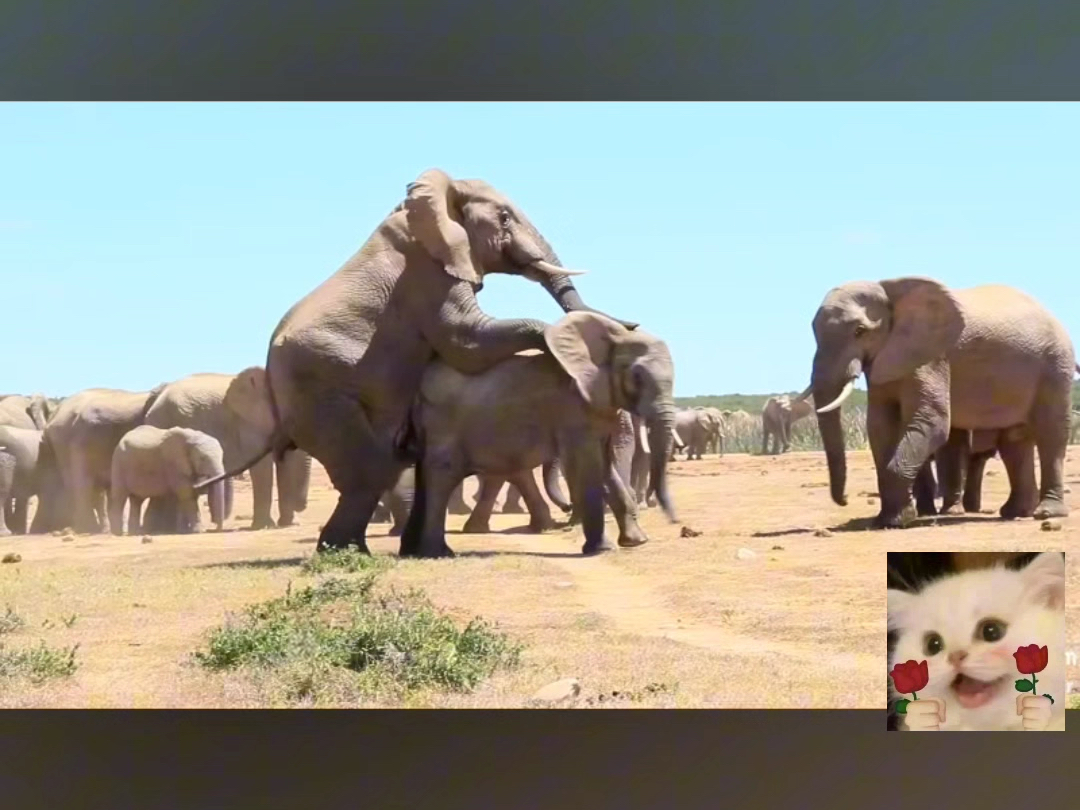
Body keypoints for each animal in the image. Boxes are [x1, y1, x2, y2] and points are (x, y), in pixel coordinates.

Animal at [142, 367, 311, 531]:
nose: (301, 506)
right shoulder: (248, 422)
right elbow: (262, 466)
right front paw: (264, 526)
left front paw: (289, 524)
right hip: (162, 422)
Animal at [199, 168, 635, 554]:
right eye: (504, 217)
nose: (632, 323)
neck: (434, 197)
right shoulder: (426, 275)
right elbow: (468, 341)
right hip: (320, 396)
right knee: (369, 469)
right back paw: (347, 552)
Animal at [400, 311, 677, 558]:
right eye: (637, 376)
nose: (674, 522)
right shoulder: (572, 410)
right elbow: (587, 468)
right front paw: (601, 549)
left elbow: (606, 469)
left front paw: (636, 542)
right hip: (443, 422)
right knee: (443, 474)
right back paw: (437, 552)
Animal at [809, 277, 1076, 528]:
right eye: (814, 333)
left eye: (860, 331)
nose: (844, 500)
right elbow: (879, 426)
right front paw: (886, 520)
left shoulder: (932, 357)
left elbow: (933, 422)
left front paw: (896, 522)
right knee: (1014, 441)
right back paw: (1015, 512)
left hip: (1055, 365)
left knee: (1050, 434)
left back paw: (1047, 513)